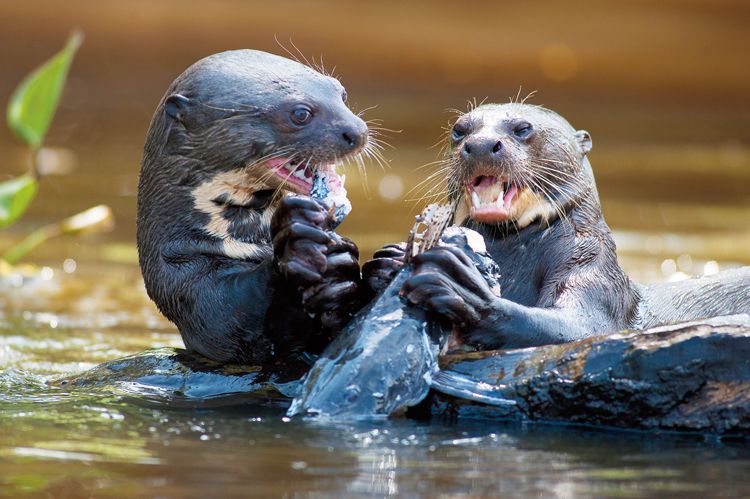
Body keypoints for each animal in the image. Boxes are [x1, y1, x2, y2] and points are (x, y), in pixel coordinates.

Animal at [138, 49, 370, 364]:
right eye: (300, 113)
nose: (358, 132)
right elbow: (242, 322)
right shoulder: (194, 296)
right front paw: (297, 246)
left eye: (342, 93)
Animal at [366, 103, 750, 350]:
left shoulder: (593, 265)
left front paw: (462, 288)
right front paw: (387, 261)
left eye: (523, 128)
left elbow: (582, 326)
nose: (480, 144)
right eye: (459, 131)